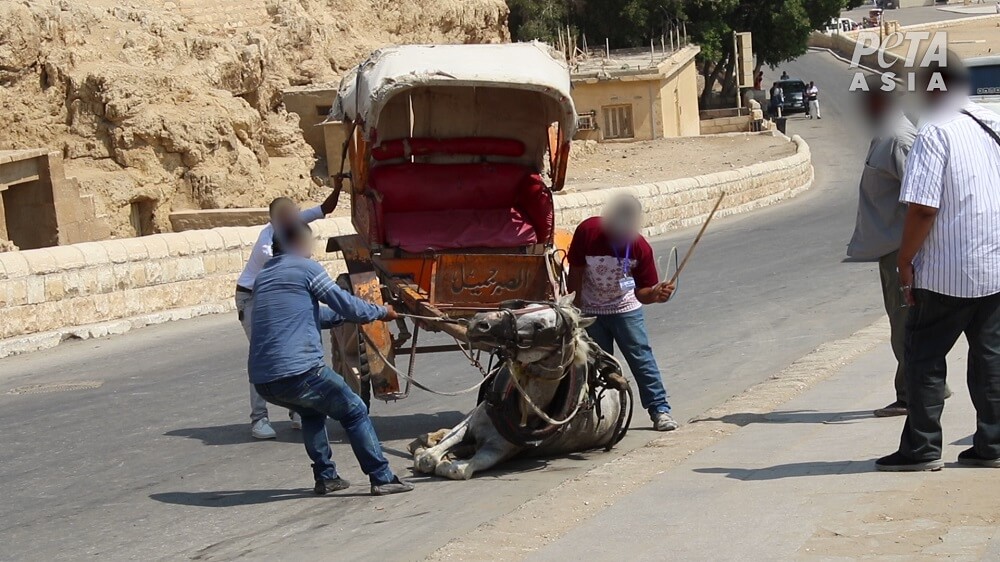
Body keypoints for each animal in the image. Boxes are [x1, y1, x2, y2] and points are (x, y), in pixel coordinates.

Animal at [408, 294, 632, 476]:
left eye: (540, 325)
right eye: (525, 305)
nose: (480, 322)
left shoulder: (498, 450)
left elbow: (455, 469)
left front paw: (449, 461)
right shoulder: (470, 422)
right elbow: (428, 457)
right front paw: (431, 450)